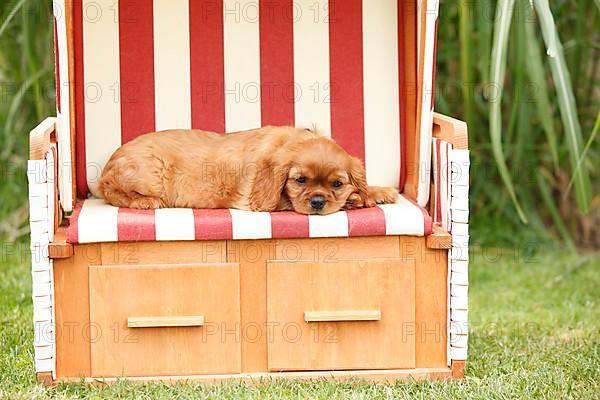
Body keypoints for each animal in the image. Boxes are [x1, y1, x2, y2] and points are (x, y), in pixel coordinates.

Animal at [98, 127, 398, 216]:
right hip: (151, 174)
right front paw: (355, 200)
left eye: (337, 184)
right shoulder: (258, 202)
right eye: (300, 180)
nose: (317, 202)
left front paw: (377, 191)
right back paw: (146, 202)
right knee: (115, 194)